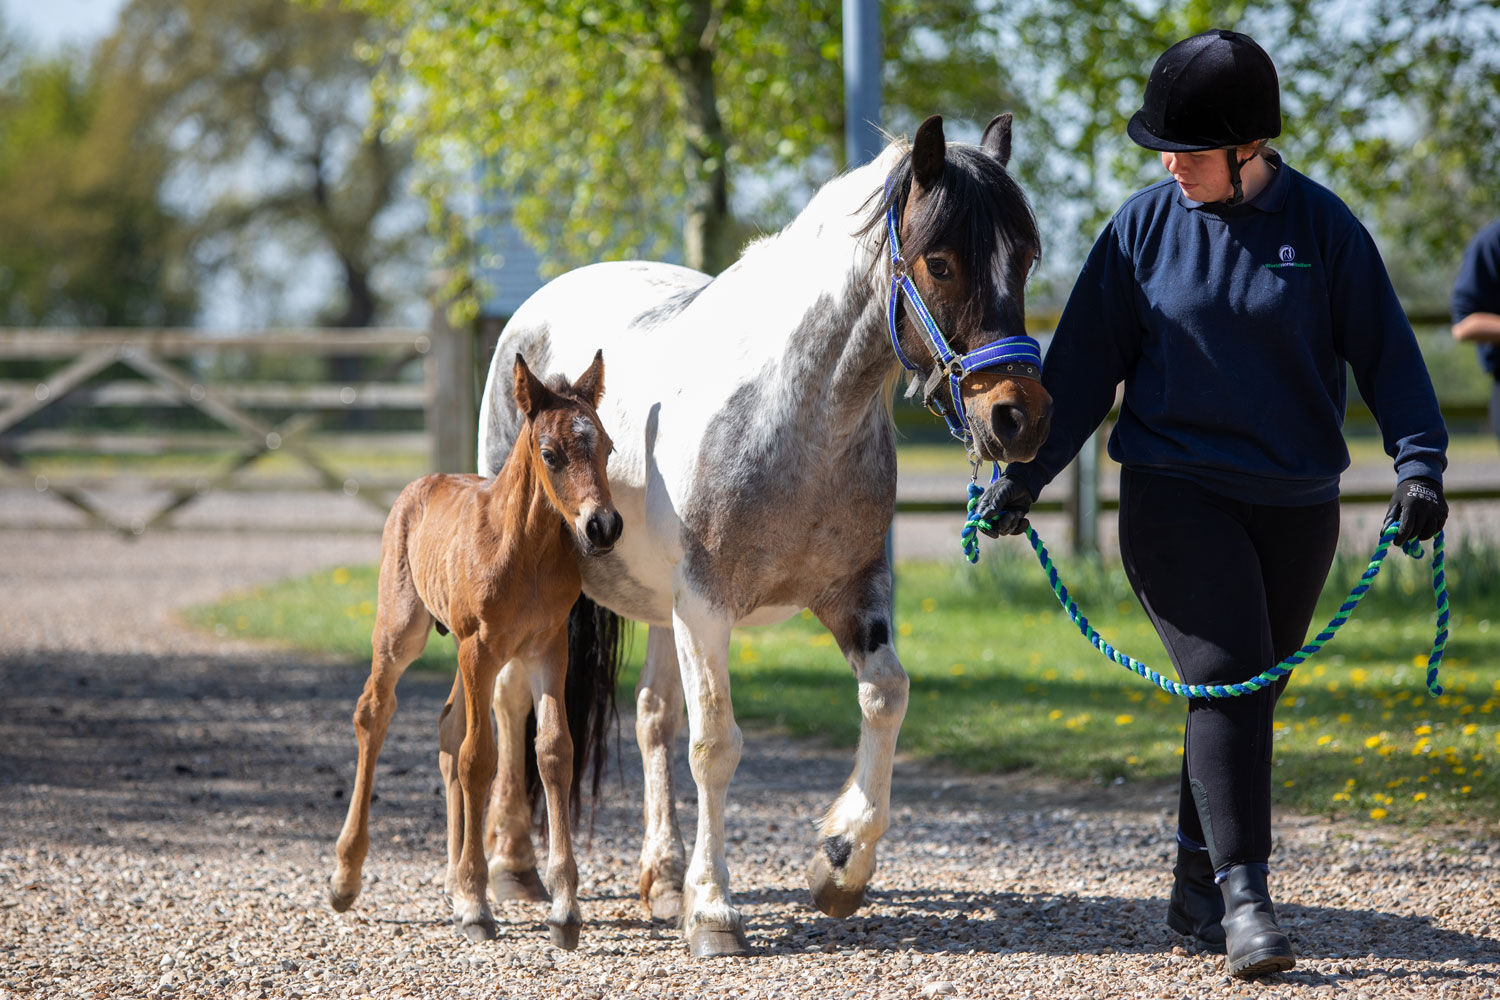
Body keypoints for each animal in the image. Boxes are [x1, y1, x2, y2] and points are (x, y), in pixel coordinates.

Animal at [331, 355, 624, 953]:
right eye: (551, 453)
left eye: (606, 448)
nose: (602, 526)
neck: (526, 549)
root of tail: (424, 482)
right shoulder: (479, 646)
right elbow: (478, 757)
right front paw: (475, 904)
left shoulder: (547, 648)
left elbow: (554, 751)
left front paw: (564, 910)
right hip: (403, 628)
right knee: (375, 712)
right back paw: (347, 877)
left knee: (446, 726)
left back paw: (448, 879)